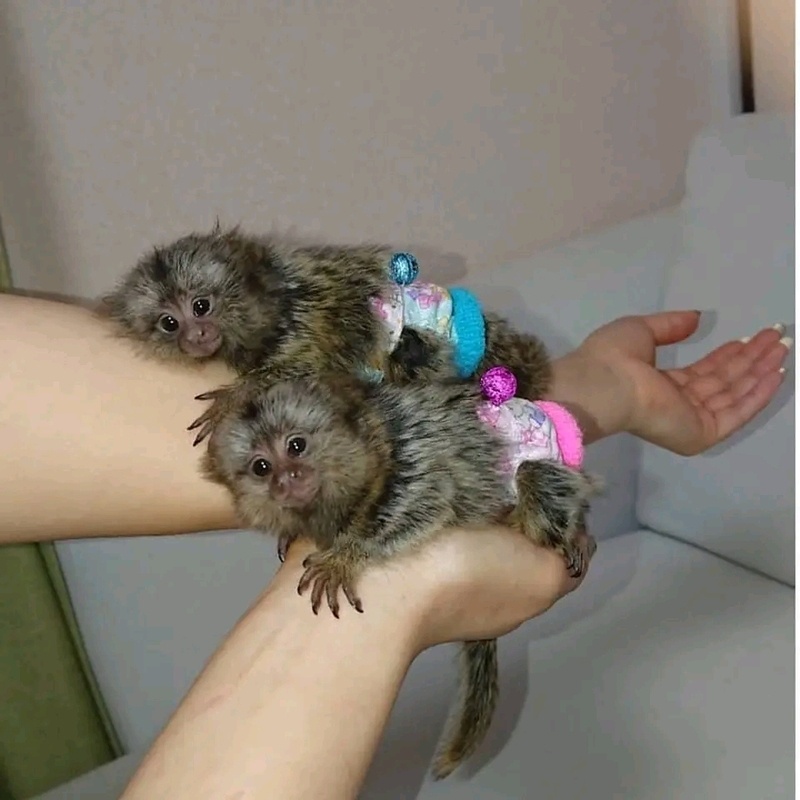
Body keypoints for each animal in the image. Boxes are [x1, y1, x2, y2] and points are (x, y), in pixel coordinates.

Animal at [98, 224, 552, 441]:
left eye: (200, 306)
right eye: (169, 323)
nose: (196, 336)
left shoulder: (312, 315)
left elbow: (311, 365)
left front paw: (237, 395)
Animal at [200, 367, 599, 780]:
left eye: (296, 446)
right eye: (261, 467)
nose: (286, 479)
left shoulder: (412, 453)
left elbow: (427, 499)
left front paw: (346, 556)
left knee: (535, 477)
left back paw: (572, 534)